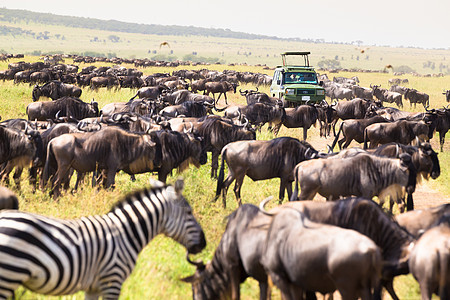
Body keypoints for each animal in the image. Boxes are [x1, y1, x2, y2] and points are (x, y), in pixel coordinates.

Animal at [0, 179, 206, 298]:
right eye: (189, 213)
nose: (204, 244)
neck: (126, 232)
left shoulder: (93, 287)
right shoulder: (112, 280)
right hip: (8, 275)